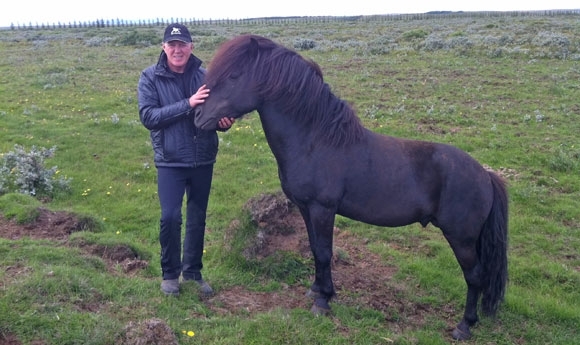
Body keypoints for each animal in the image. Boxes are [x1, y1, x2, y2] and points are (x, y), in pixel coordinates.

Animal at [196, 33, 508, 340]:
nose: (198, 117)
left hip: (461, 238)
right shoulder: (305, 208)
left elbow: (325, 252)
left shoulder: (323, 209)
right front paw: (316, 289)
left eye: (234, 75)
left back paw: (464, 326)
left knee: (474, 276)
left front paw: (323, 301)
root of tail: (485, 175)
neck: (315, 141)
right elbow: (314, 249)